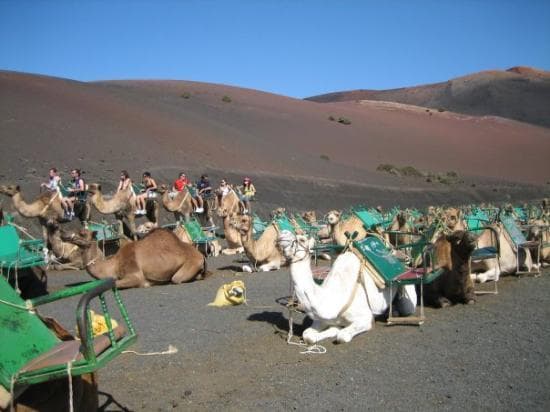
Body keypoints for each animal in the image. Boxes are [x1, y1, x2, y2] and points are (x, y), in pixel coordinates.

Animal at [278, 230, 416, 342]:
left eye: (302, 239)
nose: (282, 233)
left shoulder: (365, 318)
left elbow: (342, 336)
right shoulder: (321, 319)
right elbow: (307, 335)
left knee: (407, 307)